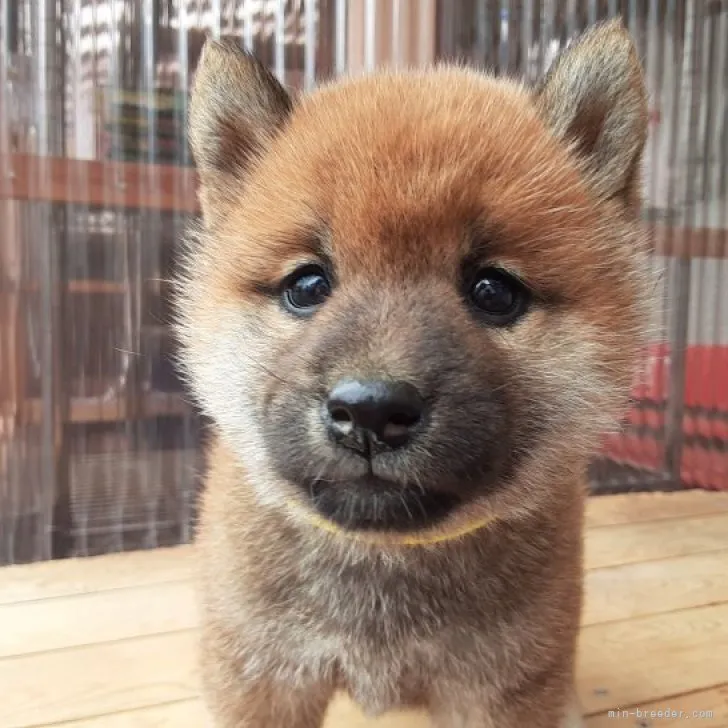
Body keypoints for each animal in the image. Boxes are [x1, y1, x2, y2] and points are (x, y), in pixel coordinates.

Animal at [175, 19, 648, 728]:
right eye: (307, 286)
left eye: (494, 292)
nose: (370, 410)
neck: (385, 563)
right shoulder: (263, 677)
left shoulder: (499, 688)